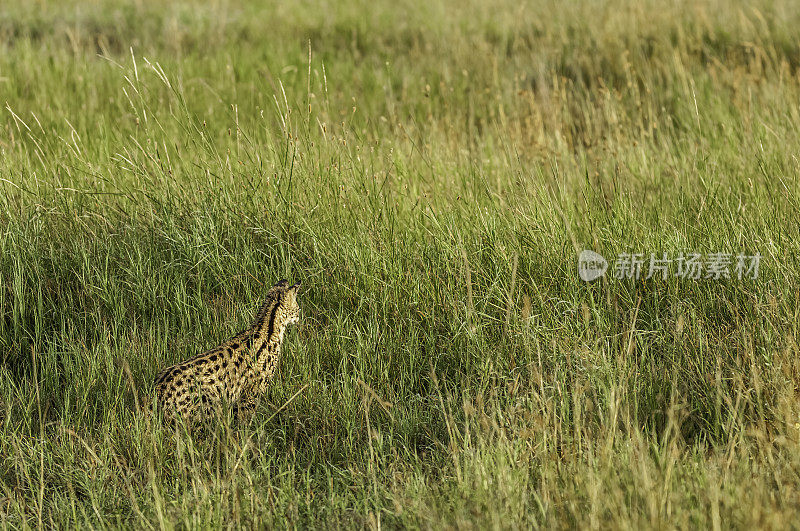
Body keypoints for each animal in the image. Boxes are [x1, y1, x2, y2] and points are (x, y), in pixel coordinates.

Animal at [152, 280, 302, 426]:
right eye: (298, 308)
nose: (299, 316)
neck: (268, 327)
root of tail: (157, 391)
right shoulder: (252, 393)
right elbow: (245, 421)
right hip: (207, 406)